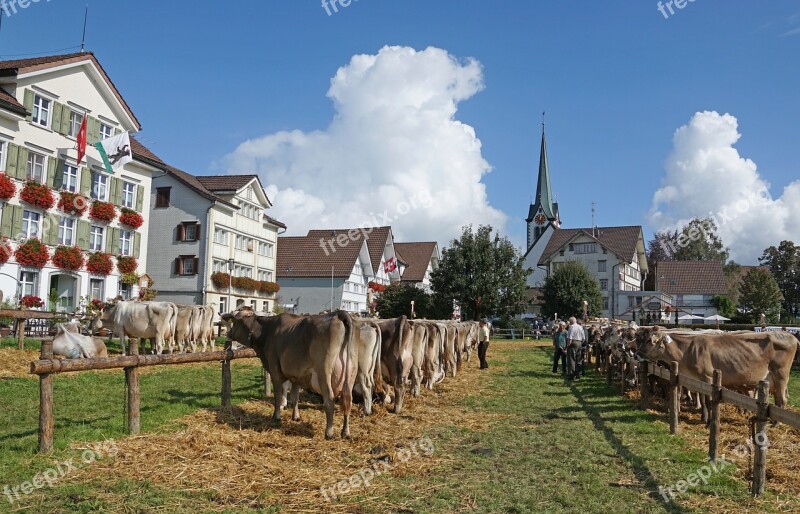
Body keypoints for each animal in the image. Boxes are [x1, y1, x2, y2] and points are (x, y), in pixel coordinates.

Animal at [220, 306, 354, 438]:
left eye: (234, 320)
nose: (228, 333)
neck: (266, 331)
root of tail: (338, 314)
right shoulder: (296, 375)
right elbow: (294, 397)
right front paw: (296, 417)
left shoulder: (274, 370)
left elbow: (278, 395)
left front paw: (276, 416)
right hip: (350, 374)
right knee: (347, 400)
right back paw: (345, 432)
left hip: (324, 373)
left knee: (330, 399)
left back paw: (329, 433)